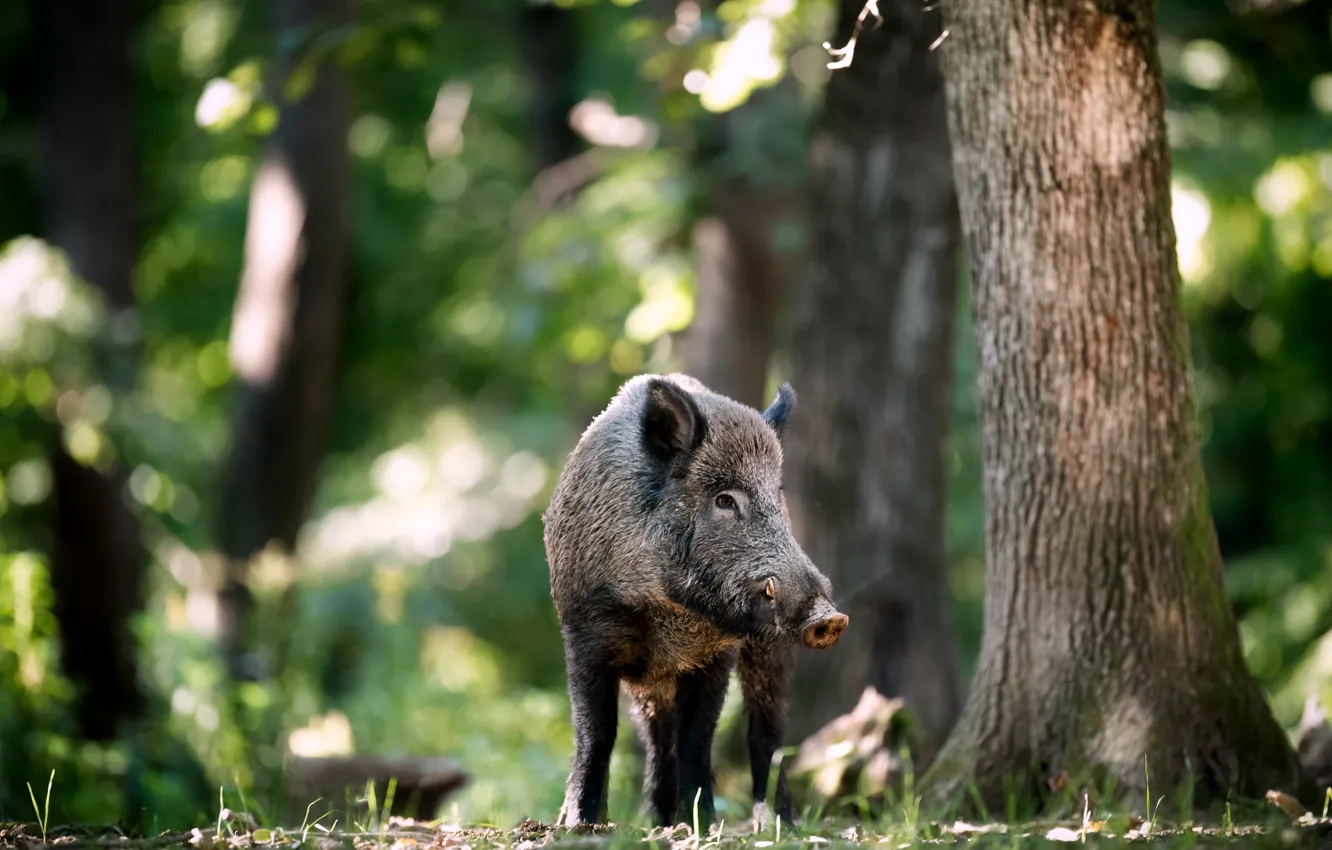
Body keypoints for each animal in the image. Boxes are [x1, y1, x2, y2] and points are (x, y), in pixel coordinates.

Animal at [542, 373, 849, 829]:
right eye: (724, 499)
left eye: (774, 497)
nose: (829, 617)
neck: (663, 608)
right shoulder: (584, 634)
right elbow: (597, 733)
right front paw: (579, 823)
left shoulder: (717, 655)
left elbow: (697, 737)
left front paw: (702, 823)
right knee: (656, 735)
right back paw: (657, 819)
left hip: (768, 655)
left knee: (767, 730)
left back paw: (778, 823)